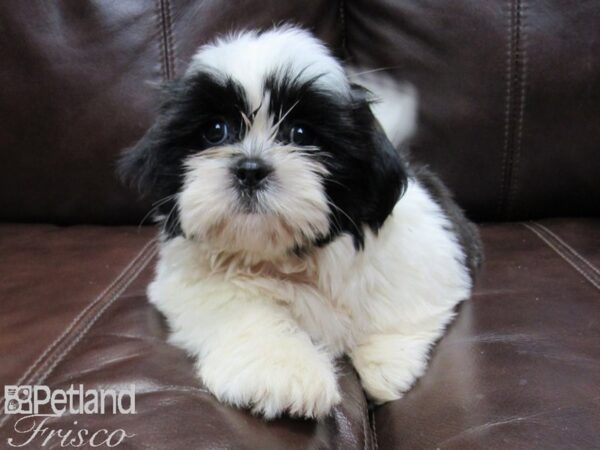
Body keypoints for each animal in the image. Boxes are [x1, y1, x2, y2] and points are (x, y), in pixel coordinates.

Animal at [118, 24, 482, 418]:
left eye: (301, 133)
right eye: (215, 130)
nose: (250, 169)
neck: (290, 258)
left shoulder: (429, 262)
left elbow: (402, 311)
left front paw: (384, 366)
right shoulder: (190, 283)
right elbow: (242, 308)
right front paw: (283, 371)